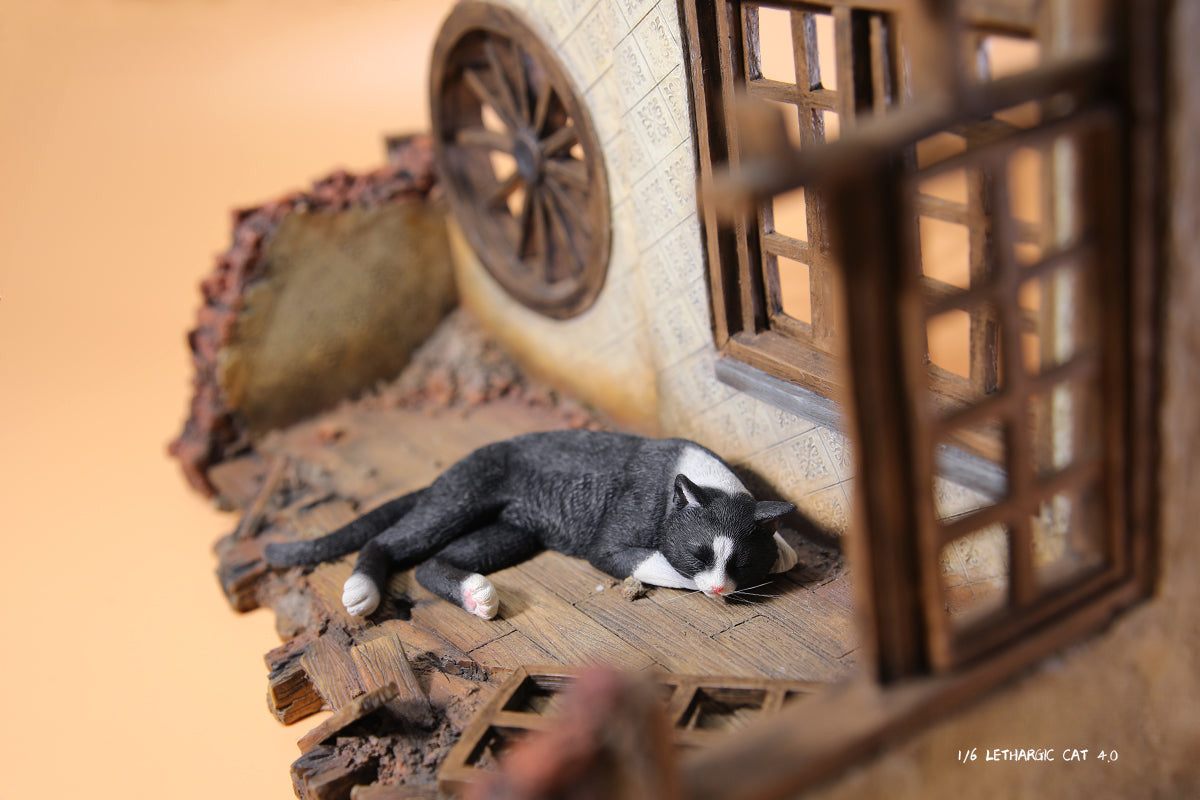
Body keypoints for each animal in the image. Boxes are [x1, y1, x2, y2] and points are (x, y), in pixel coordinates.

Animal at [267, 431, 801, 618]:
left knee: (431, 564)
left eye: (742, 561)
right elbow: (656, 564)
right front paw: (699, 582)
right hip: (461, 496)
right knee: (388, 542)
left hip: (510, 534)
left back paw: (475, 595)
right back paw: (362, 589)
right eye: (697, 553)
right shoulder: (610, 544)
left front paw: (785, 549)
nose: (721, 588)